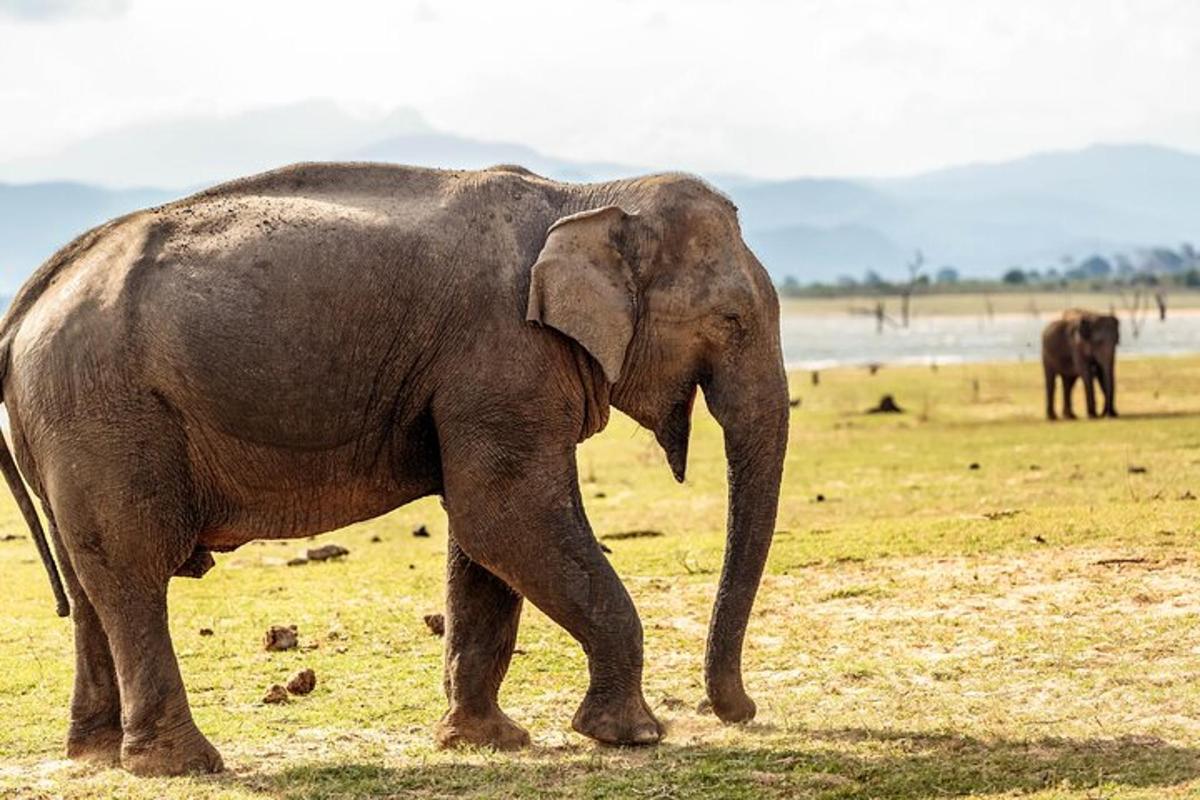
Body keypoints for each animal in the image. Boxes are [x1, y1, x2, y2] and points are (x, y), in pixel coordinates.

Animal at [0, 163, 787, 777]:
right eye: (732, 320)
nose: (741, 712)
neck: (587, 195)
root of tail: (28, 302)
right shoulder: (504, 352)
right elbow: (505, 515)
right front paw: (633, 737)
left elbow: (485, 539)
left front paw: (486, 743)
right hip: (103, 411)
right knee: (132, 569)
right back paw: (183, 765)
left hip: (69, 423)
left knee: (89, 579)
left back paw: (96, 756)